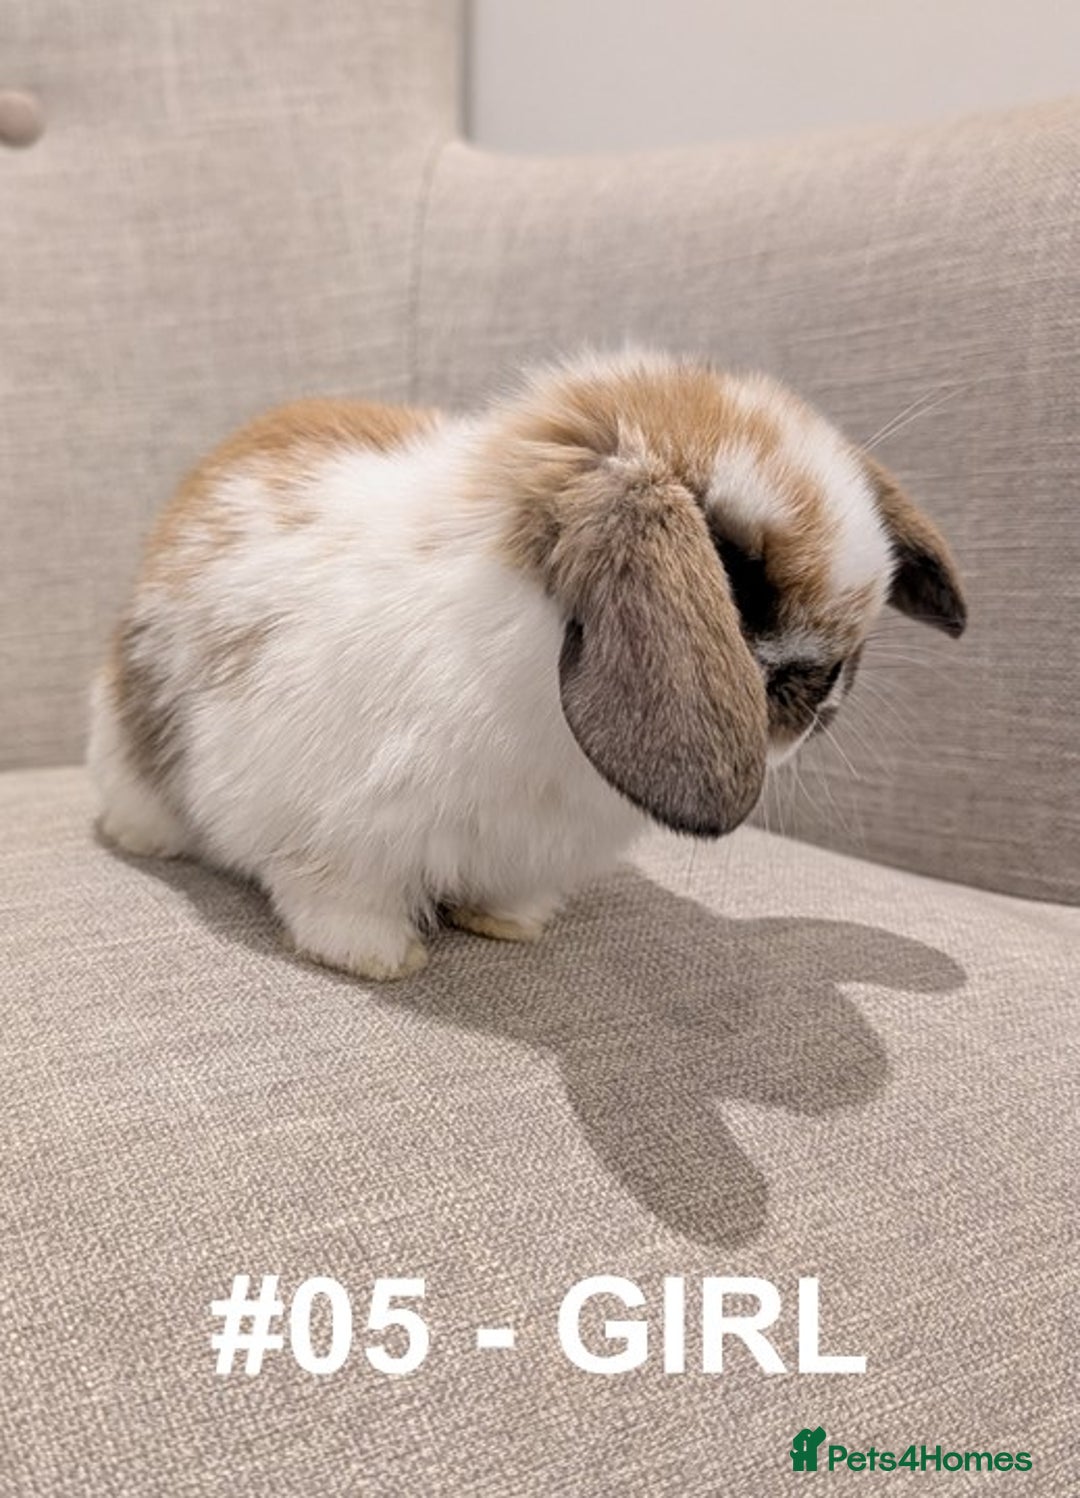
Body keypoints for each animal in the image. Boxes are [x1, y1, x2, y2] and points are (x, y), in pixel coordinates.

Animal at [89, 350, 966, 980]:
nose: (826, 694)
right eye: (735, 571)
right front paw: (383, 960)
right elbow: (340, 902)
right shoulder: (333, 840)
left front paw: (507, 926)